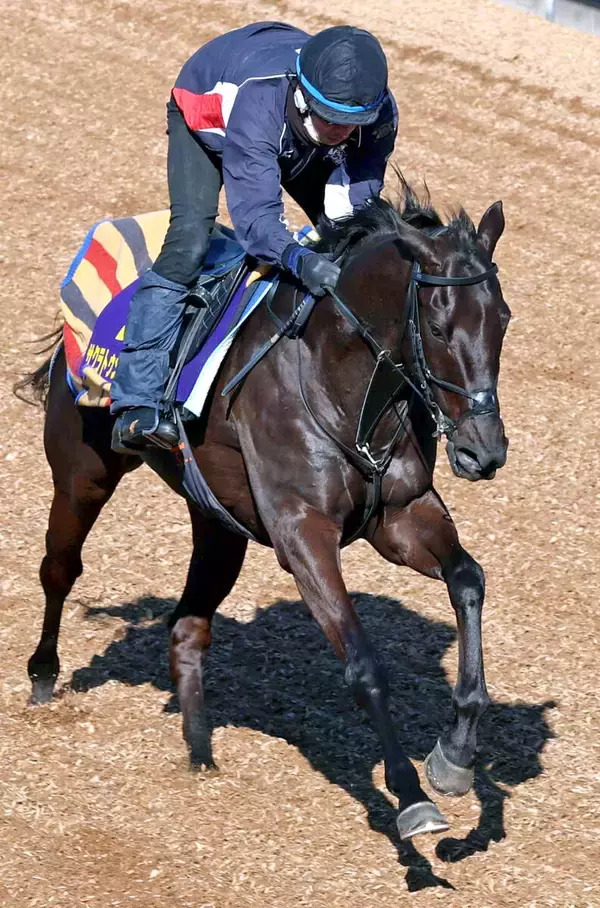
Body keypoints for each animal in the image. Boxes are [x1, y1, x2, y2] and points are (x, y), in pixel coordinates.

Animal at [18, 183, 510, 841]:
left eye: (503, 319)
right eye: (437, 325)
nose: (483, 451)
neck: (342, 379)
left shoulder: (399, 516)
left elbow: (468, 579)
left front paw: (455, 756)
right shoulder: (302, 533)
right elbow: (363, 665)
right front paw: (410, 797)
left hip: (217, 524)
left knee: (188, 625)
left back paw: (200, 754)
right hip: (83, 473)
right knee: (60, 569)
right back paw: (43, 676)